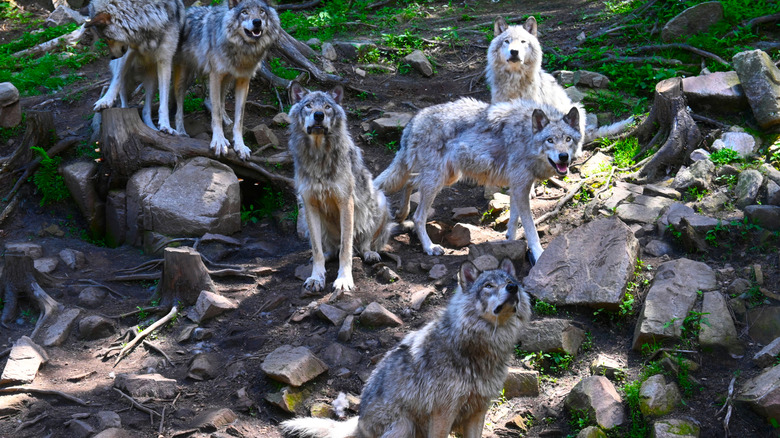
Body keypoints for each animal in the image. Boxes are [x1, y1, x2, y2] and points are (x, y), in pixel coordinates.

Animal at [84, 0, 185, 134]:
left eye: (107, 38)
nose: (112, 57)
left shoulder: (165, 60)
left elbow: (163, 101)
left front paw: (165, 125)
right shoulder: (129, 50)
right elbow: (116, 81)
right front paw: (105, 101)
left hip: (152, 82)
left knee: (146, 111)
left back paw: (152, 129)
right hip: (126, 76)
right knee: (122, 98)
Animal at [173, 0, 281, 160]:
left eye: (262, 11)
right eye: (244, 12)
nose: (257, 22)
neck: (243, 50)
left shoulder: (243, 80)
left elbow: (239, 119)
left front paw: (240, 145)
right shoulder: (215, 76)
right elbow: (216, 113)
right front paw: (219, 141)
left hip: (227, 81)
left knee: (217, 101)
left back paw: (227, 119)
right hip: (184, 78)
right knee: (179, 106)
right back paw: (180, 131)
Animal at [281, 258, 531, 438]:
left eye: (509, 281)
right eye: (489, 286)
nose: (513, 287)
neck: (479, 349)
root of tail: (359, 422)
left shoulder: (478, 410)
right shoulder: (443, 412)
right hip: (404, 425)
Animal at [288, 82, 393, 294]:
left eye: (327, 107)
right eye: (308, 105)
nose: (319, 115)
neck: (319, 156)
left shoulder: (346, 202)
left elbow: (346, 248)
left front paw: (344, 279)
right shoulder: (309, 203)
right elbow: (317, 249)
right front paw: (316, 277)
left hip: (380, 201)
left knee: (362, 244)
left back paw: (369, 254)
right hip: (303, 216)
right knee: (328, 248)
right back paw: (328, 254)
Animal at [374, 97, 583, 264]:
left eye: (568, 139)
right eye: (550, 140)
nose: (563, 157)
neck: (527, 138)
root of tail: (413, 121)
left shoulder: (517, 186)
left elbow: (514, 219)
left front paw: (510, 240)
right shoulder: (521, 187)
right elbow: (531, 229)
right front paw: (539, 255)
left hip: (446, 178)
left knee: (409, 182)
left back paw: (401, 214)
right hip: (437, 181)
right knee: (418, 216)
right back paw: (429, 247)